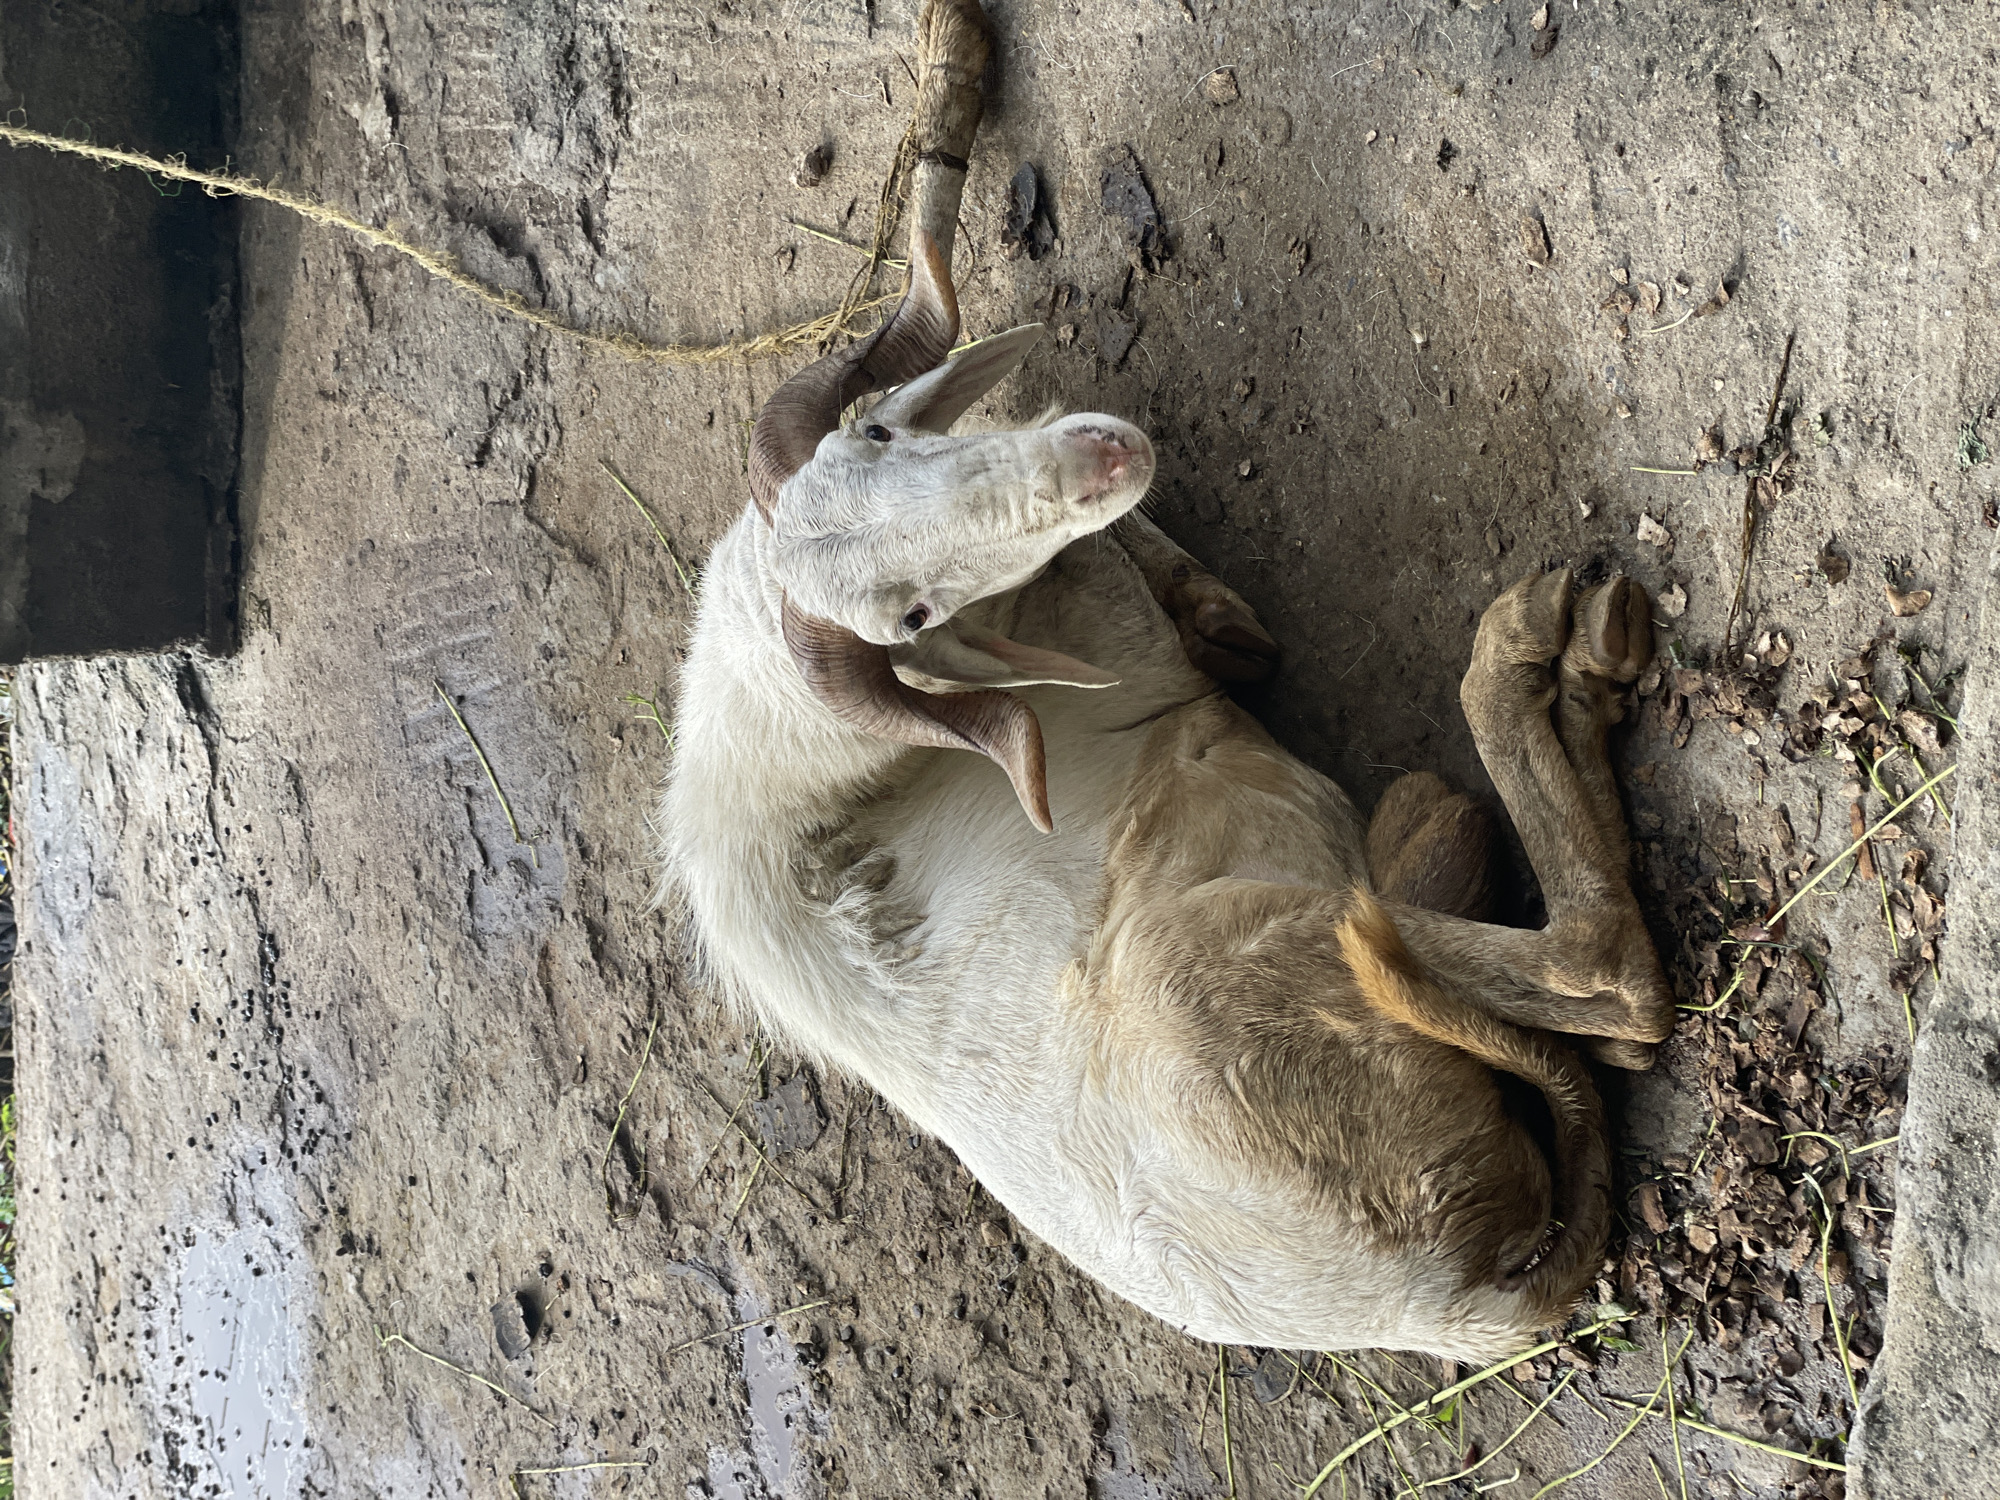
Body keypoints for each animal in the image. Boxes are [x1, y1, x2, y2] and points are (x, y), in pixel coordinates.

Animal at [661, 0, 1674, 1360]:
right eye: (909, 619)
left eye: (875, 434)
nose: (1094, 464)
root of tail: (1462, 1298)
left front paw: (952, 57)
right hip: (1250, 945)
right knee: (1605, 982)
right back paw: (1544, 658)